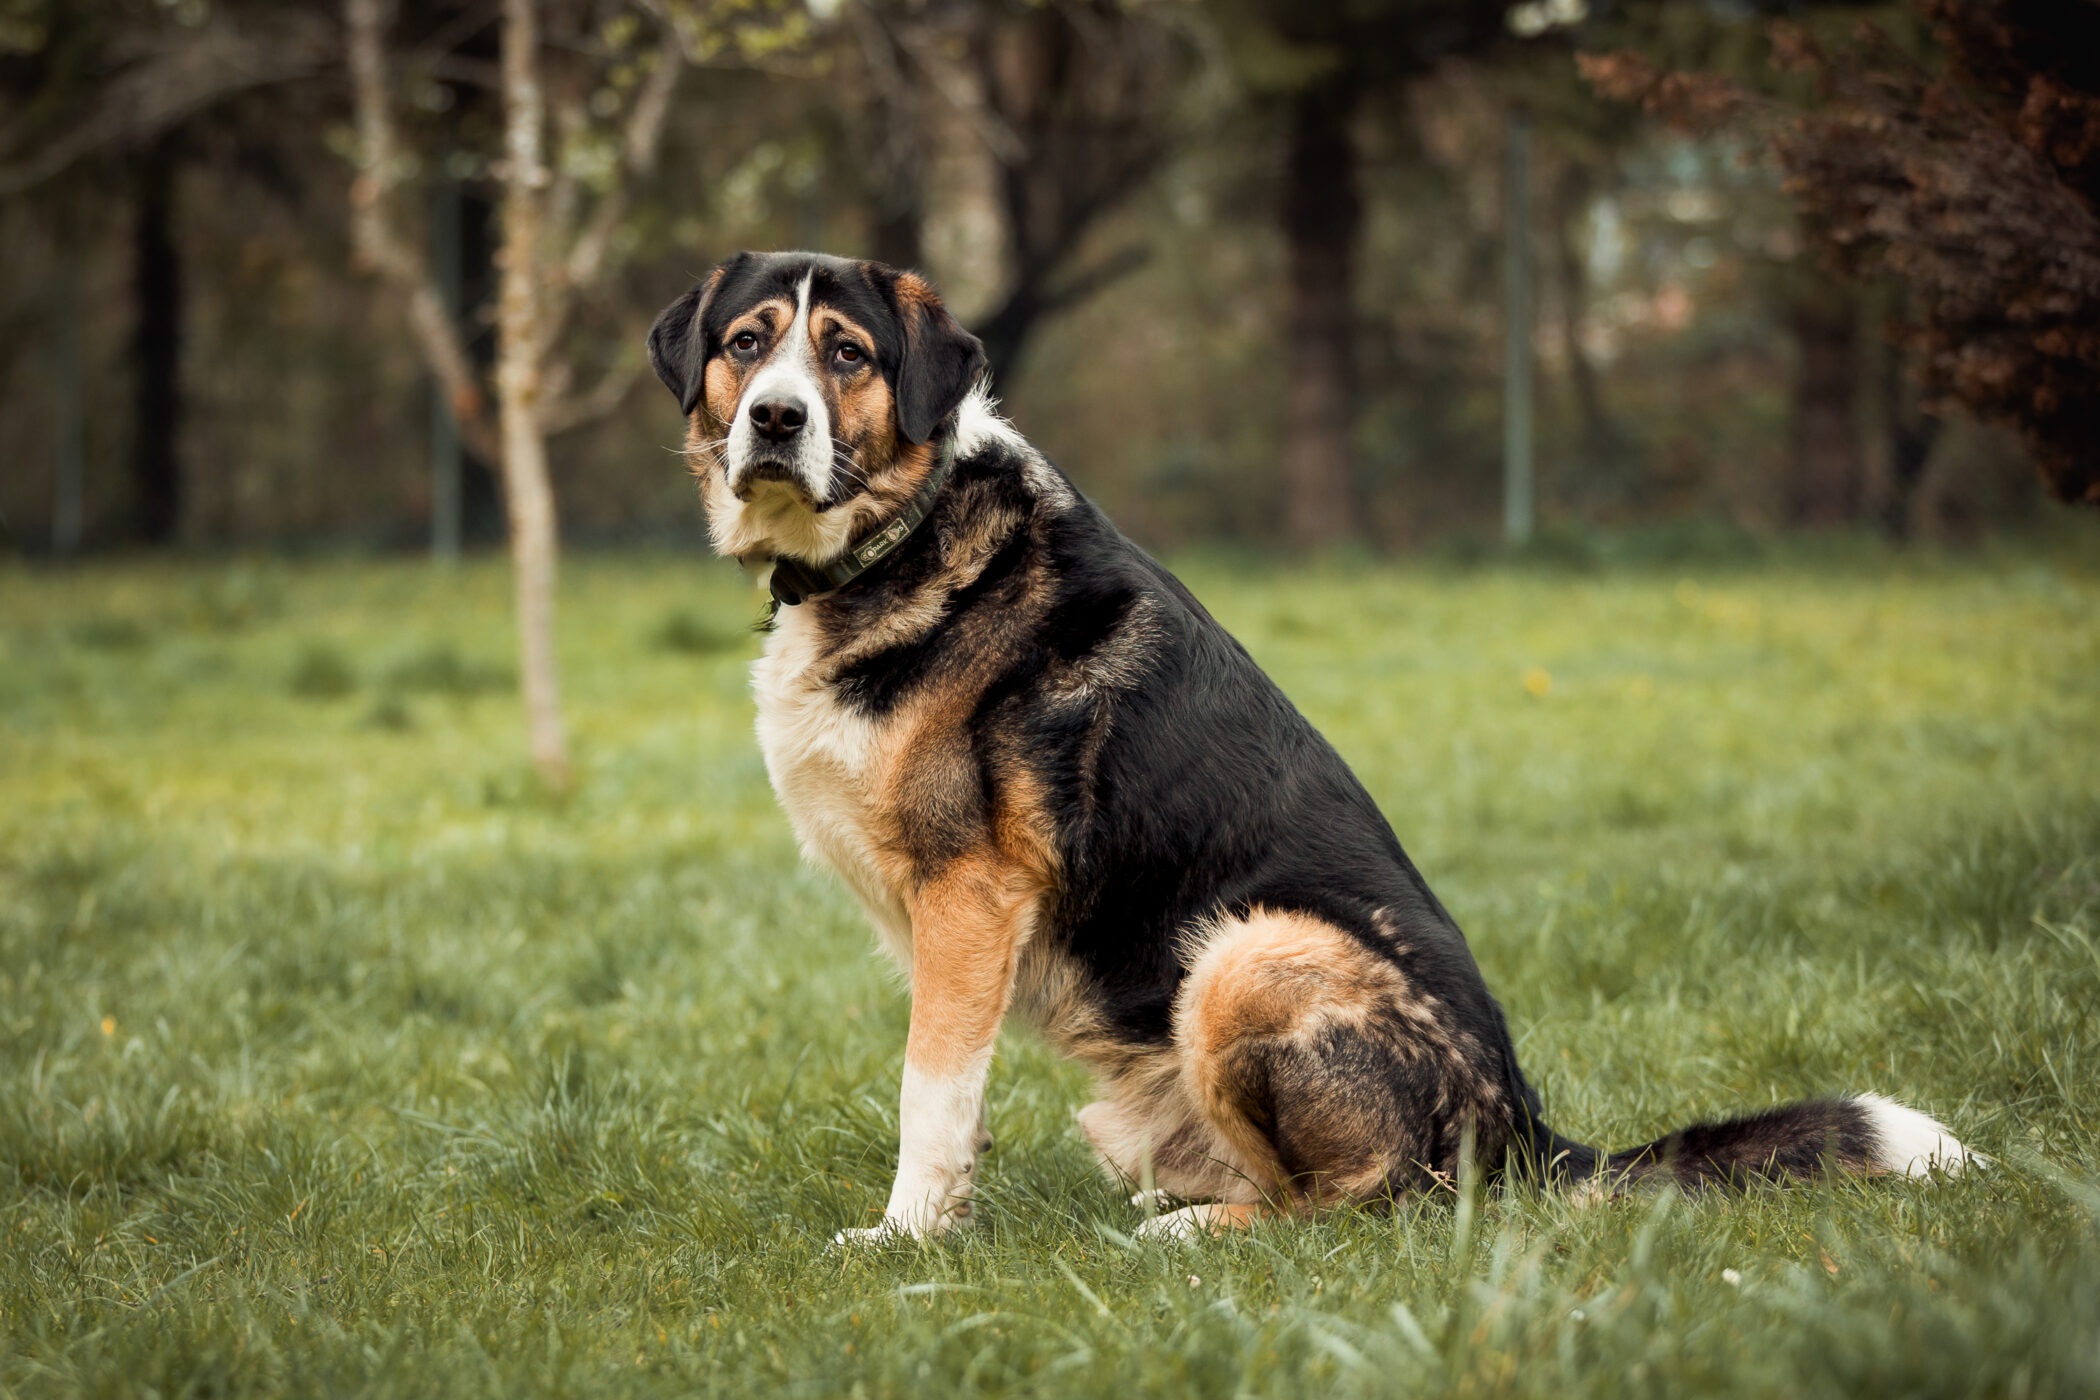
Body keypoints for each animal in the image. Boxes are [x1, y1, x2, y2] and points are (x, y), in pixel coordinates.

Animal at [647, 250, 1973, 1242]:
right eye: (749, 343)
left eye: (848, 356)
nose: (775, 419)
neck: (903, 530)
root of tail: (1523, 1134)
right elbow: (952, 1094)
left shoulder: (970, 895)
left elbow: (930, 1091)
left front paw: (908, 1239)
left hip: (1250, 952)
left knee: (1356, 1209)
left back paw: (1194, 1235)